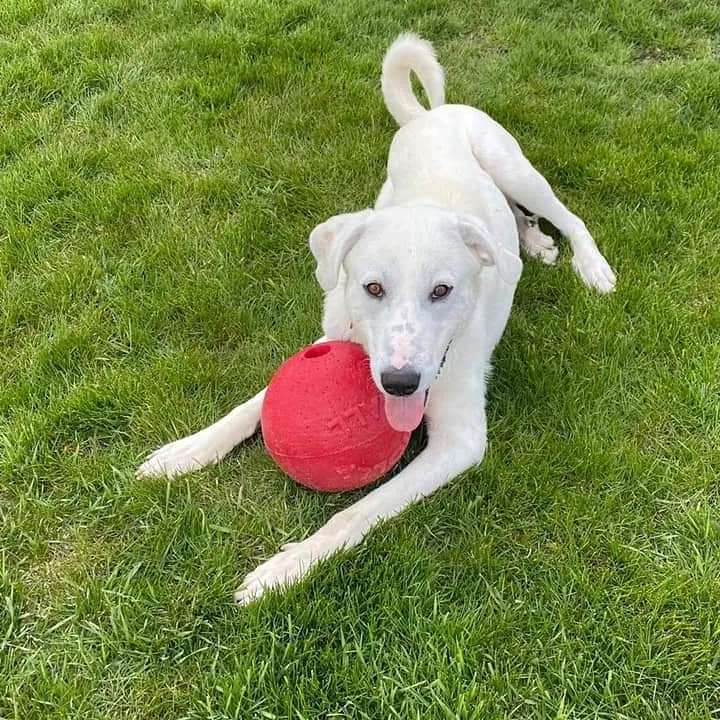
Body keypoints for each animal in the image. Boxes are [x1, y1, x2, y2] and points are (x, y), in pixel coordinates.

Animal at [138, 36, 616, 604]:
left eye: (441, 291)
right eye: (372, 288)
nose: (400, 382)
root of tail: (431, 116)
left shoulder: (460, 440)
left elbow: (355, 512)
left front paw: (286, 568)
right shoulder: (329, 336)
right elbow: (249, 406)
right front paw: (184, 452)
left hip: (513, 166)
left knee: (568, 215)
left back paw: (588, 263)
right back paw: (533, 240)